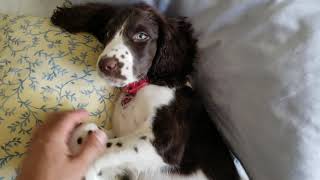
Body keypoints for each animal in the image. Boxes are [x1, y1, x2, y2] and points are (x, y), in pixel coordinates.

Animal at [51, 2, 239, 180]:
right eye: (107, 33)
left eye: (141, 35)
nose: (105, 65)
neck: (140, 87)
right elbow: (91, 131)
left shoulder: (165, 141)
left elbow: (103, 144)